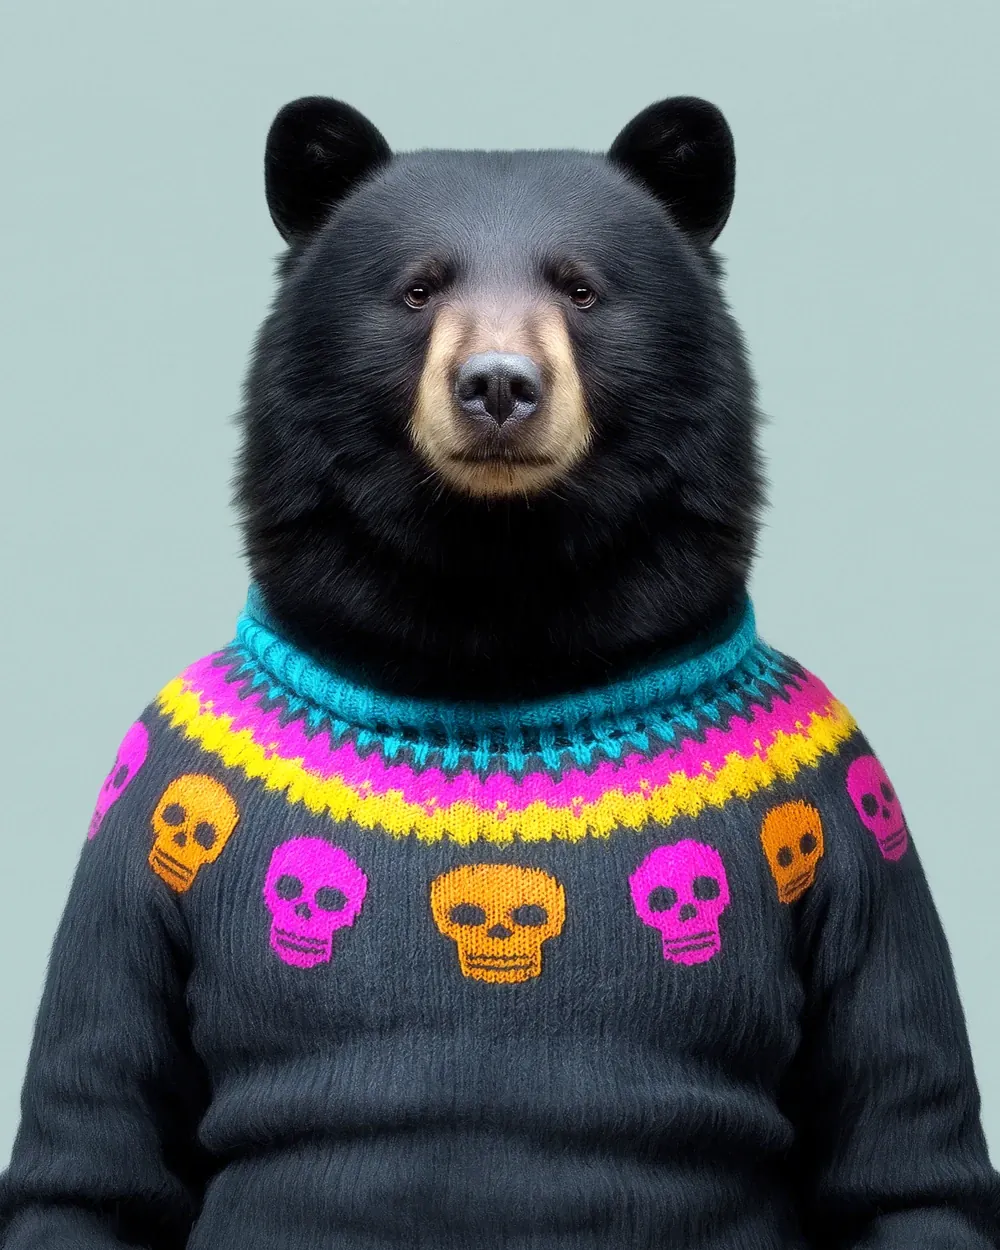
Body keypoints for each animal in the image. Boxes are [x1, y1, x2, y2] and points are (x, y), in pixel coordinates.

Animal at [1, 97, 998, 1250]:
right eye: (418, 288)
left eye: (581, 288)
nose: (498, 386)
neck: (498, 613)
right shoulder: (140, 788)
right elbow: (97, 1103)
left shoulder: (850, 798)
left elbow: (899, 1112)